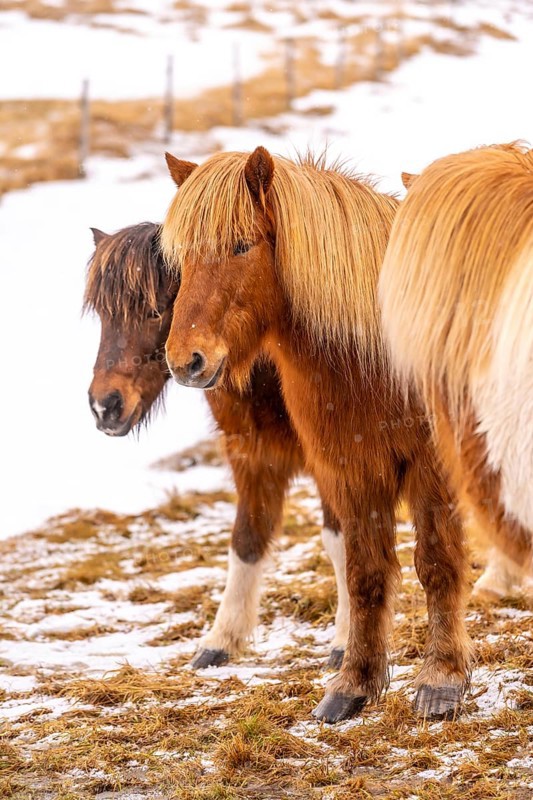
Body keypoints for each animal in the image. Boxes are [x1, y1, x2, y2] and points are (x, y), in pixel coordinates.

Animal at [83, 221, 349, 670]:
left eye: (156, 310)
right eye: (103, 315)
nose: (105, 406)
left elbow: (343, 539)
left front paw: (346, 643)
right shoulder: (252, 458)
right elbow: (246, 541)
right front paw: (221, 640)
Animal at [161, 148, 473, 723]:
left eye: (242, 245)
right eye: (182, 257)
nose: (185, 361)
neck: (375, 356)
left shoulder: (432, 470)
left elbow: (437, 565)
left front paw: (441, 680)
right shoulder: (350, 471)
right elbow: (364, 572)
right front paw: (354, 684)